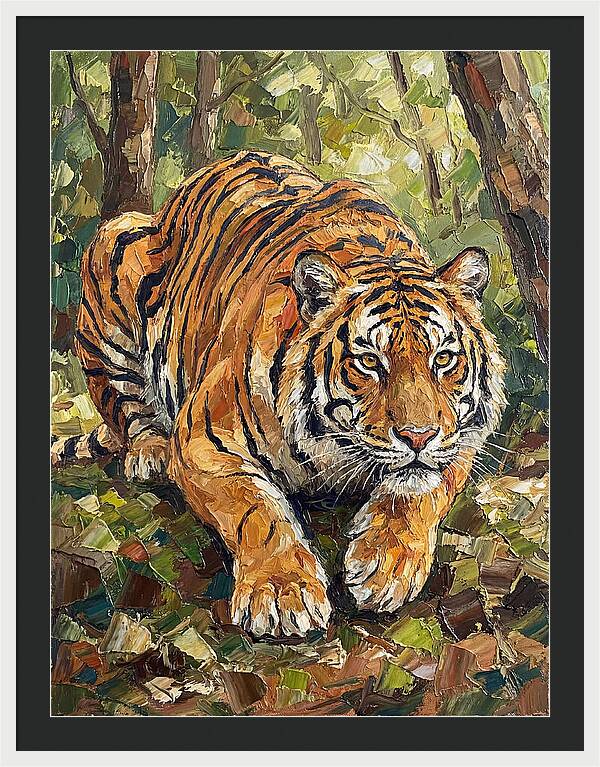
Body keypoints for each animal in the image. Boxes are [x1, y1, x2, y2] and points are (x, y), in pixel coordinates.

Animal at [52, 150, 506, 638]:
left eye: (443, 359)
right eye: (369, 362)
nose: (418, 437)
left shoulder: (460, 438)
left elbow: (419, 492)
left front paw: (385, 566)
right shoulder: (205, 440)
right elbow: (256, 508)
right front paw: (281, 589)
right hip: (114, 251)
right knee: (126, 406)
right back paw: (149, 451)